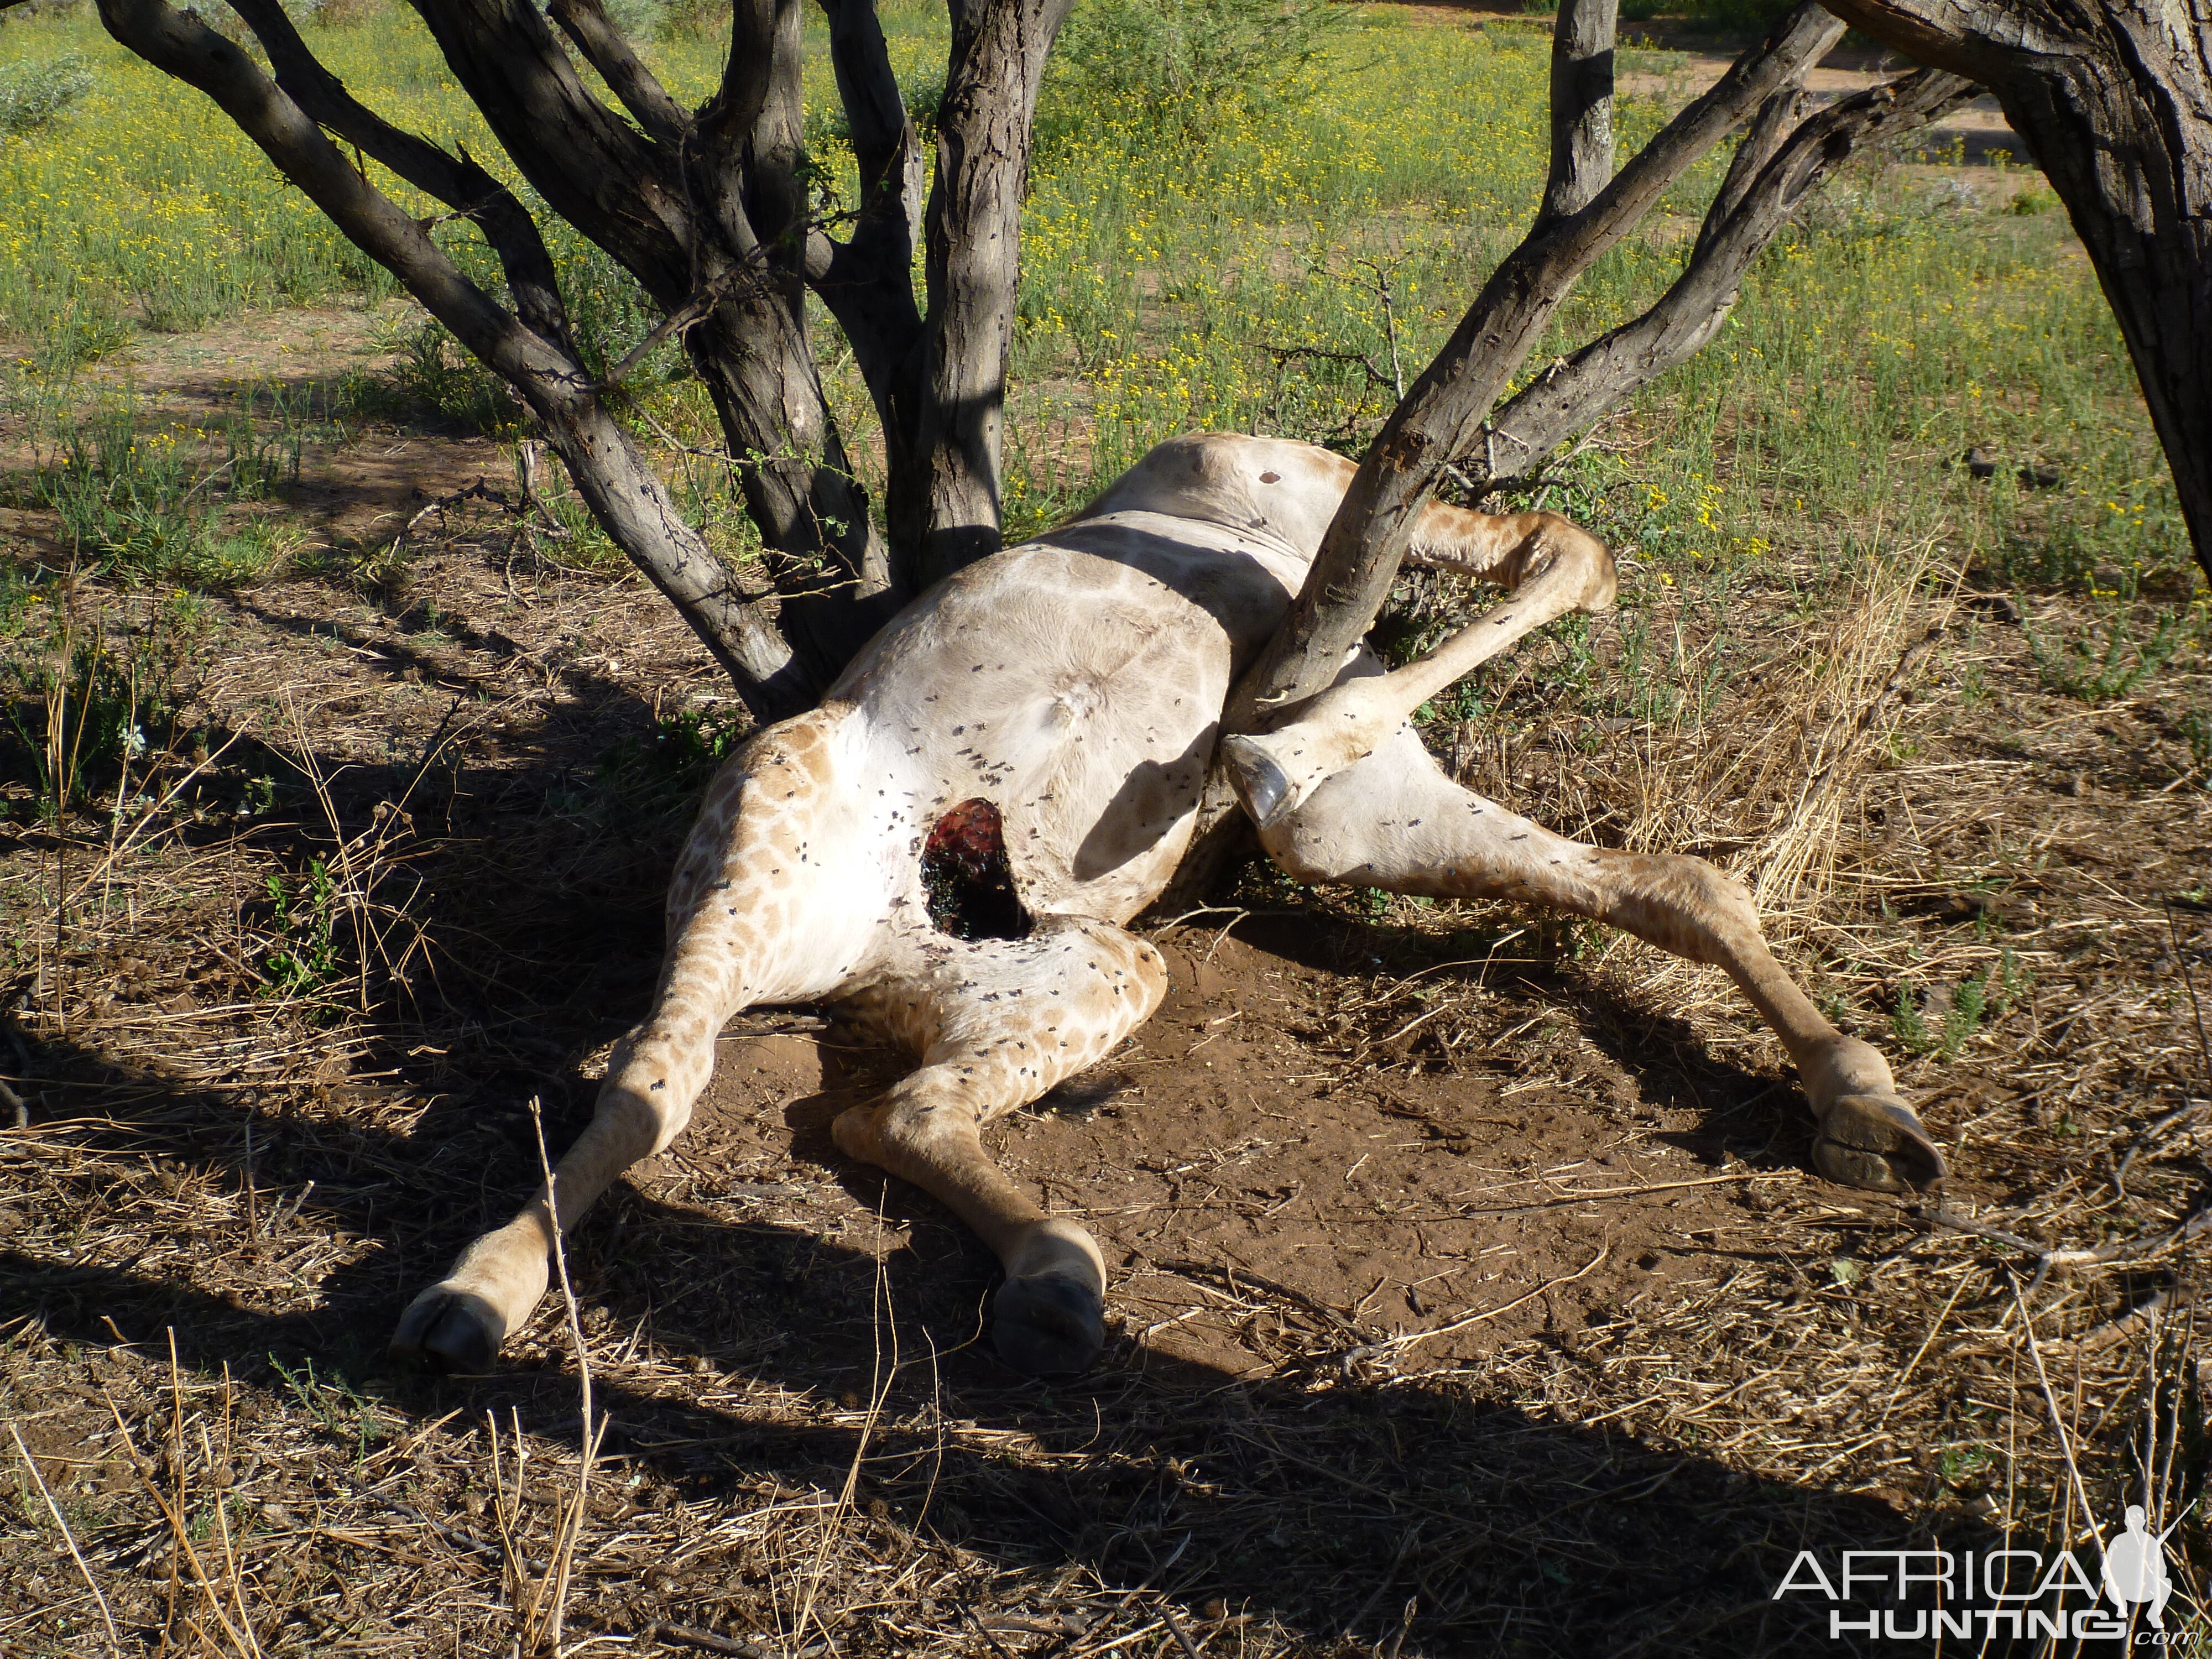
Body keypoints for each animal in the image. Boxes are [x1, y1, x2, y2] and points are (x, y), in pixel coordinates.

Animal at [389, 429, 1947, 1380]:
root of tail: (881, 945)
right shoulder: (1322, 524)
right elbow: (1561, 555)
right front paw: (1258, 747)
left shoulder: (1351, 815)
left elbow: (1674, 874)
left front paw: (1866, 1102)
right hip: (768, 826)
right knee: (654, 1080)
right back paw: (470, 1299)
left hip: (1087, 971)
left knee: (886, 1111)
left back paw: (1051, 1274)